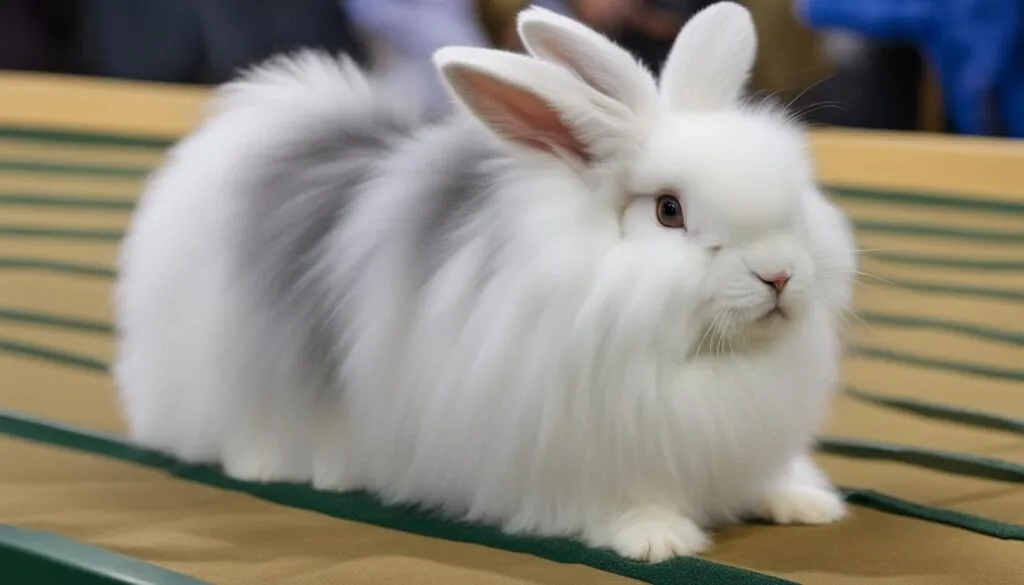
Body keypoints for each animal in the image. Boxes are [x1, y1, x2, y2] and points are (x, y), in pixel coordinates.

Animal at [114, 1, 857, 563]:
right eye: (668, 210)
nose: (780, 273)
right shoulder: (579, 450)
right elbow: (625, 496)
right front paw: (656, 537)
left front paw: (807, 503)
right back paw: (271, 463)